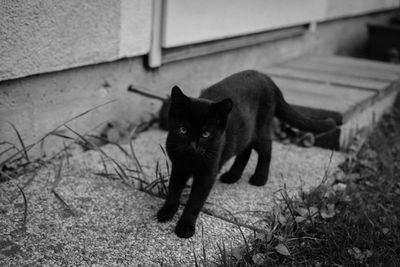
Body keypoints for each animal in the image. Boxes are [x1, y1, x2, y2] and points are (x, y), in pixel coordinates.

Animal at [156, 69, 334, 239]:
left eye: (206, 134)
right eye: (183, 130)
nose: (192, 147)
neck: (191, 160)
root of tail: (265, 77)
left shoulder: (207, 174)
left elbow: (195, 201)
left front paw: (185, 227)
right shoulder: (178, 166)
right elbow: (173, 189)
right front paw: (167, 210)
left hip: (260, 128)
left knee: (266, 148)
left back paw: (260, 177)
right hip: (245, 131)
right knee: (245, 150)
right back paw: (233, 175)